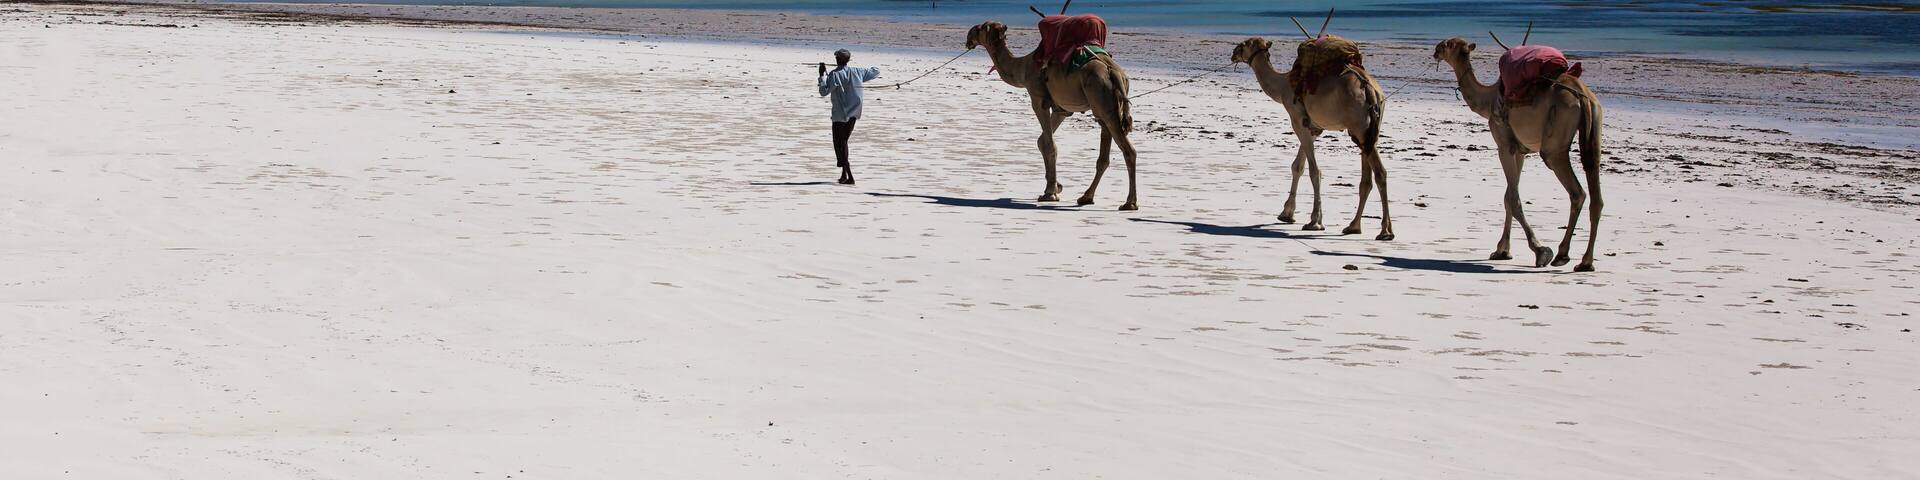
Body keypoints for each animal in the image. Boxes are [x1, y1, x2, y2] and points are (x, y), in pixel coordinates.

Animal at [965, 20, 1139, 210]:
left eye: (981, 28)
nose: (968, 36)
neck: (1023, 68)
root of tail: (1114, 72)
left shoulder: (1038, 100)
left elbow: (1049, 144)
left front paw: (1050, 193)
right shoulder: (1062, 109)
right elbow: (1042, 141)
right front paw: (1057, 186)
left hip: (1103, 100)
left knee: (1128, 150)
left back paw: (1129, 203)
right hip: (1105, 106)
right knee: (1104, 156)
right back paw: (1086, 197)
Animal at [1229, 37, 1394, 240]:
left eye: (1244, 44)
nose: (1233, 53)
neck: (1283, 85)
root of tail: (1371, 89)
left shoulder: (1297, 121)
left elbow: (1314, 171)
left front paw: (1315, 222)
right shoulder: (1313, 128)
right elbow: (1298, 166)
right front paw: (1287, 213)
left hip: (1359, 125)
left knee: (1379, 173)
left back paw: (1385, 231)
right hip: (1369, 130)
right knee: (1368, 178)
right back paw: (1353, 226)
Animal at [1432, 37, 1604, 271]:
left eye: (1447, 44)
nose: (1435, 50)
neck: (1488, 99)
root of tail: (1582, 96)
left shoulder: (1504, 145)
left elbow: (1513, 199)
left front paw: (1540, 251)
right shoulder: (1521, 151)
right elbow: (1508, 196)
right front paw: (1502, 251)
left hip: (1554, 146)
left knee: (1577, 191)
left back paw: (1562, 254)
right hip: (1595, 132)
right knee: (1596, 193)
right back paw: (1585, 262)